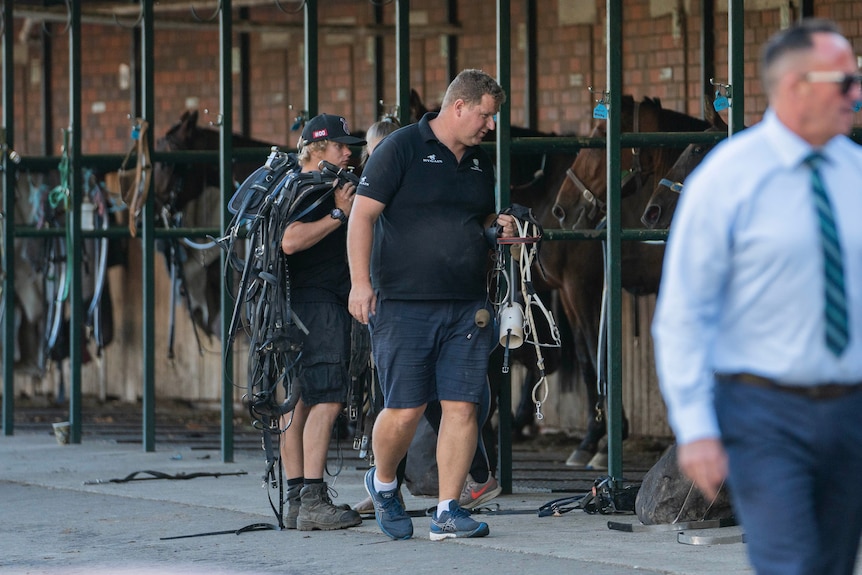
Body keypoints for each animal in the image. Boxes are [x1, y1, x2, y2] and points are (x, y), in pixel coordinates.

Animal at [536, 97, 712, 468]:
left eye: (601, 137)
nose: (563, 209)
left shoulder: (580, 287)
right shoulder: (572, 293)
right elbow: (590, 360)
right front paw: (594, 441)